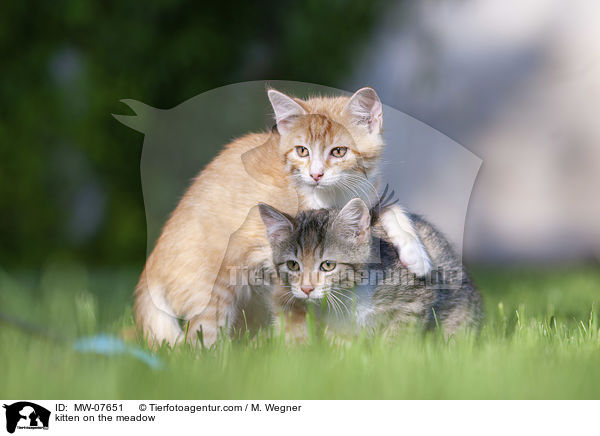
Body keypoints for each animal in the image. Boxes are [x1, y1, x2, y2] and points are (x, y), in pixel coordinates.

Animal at [134, 87, 432, 348]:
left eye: (338, 151)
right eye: (302, 151)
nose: (315, 175)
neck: (332, 195)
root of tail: (151, 267)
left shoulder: (366, 198)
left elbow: (388, 208)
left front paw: (415, 252)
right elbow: (293, 304)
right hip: (215, 284)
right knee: (201, 337)